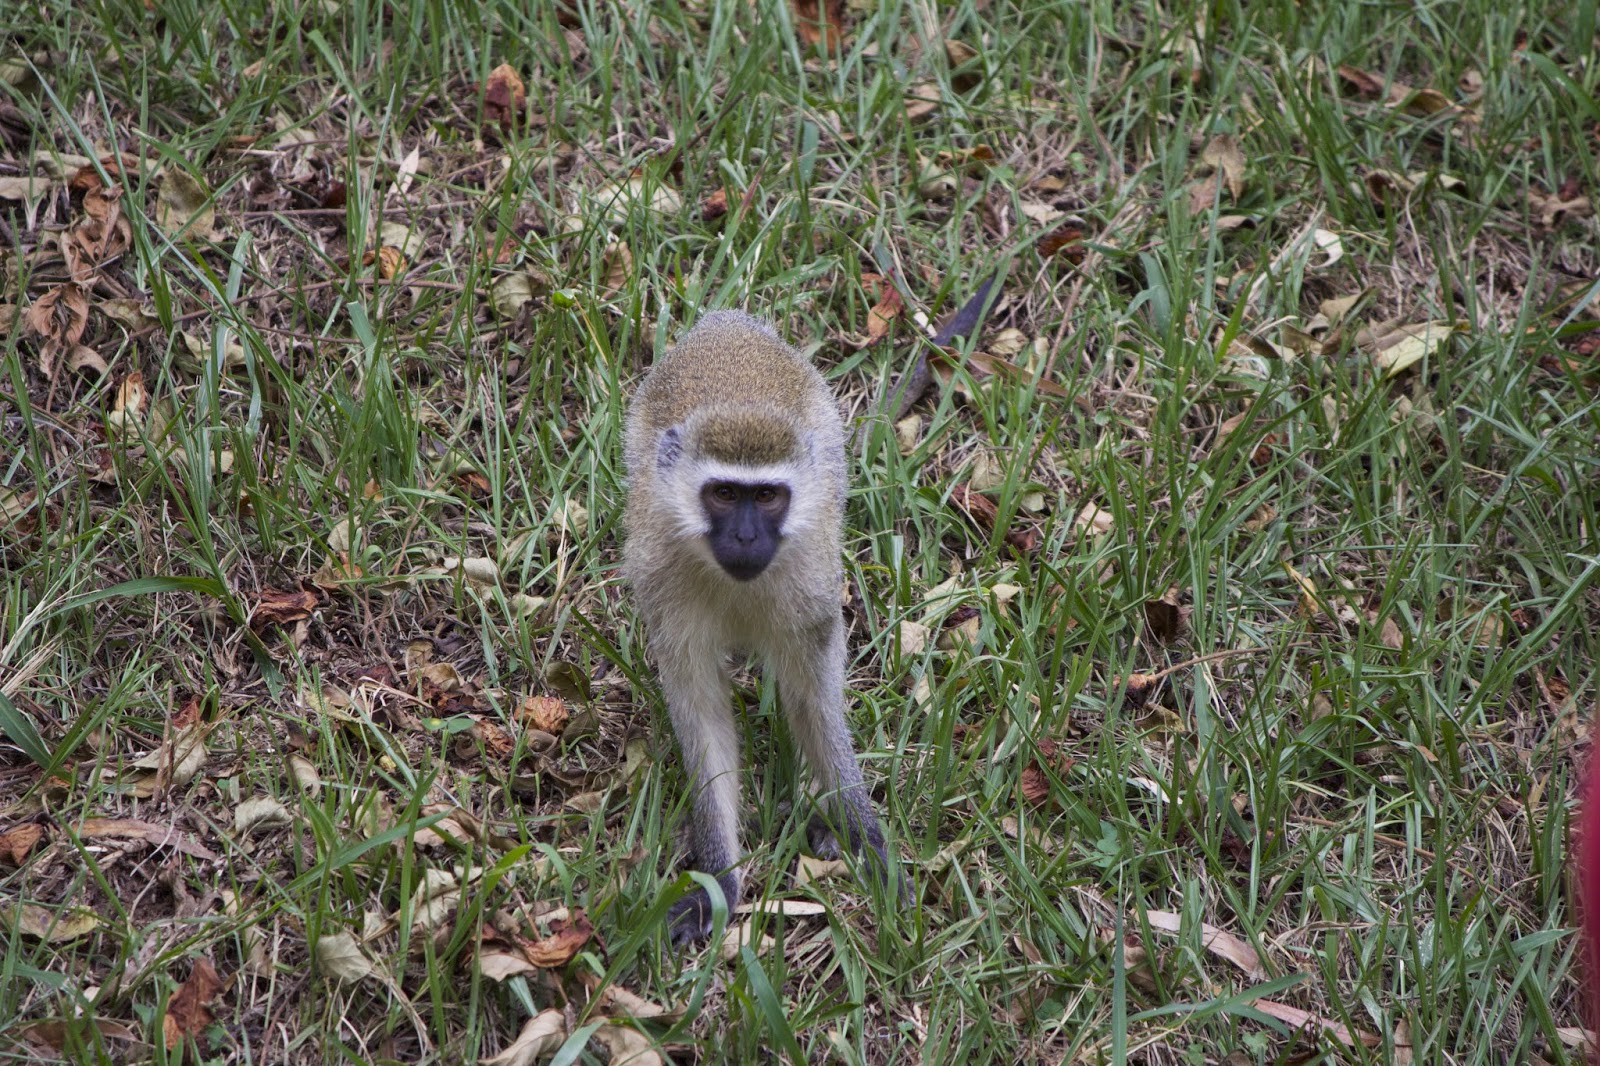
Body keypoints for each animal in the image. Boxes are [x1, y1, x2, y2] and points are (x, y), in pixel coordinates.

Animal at [622, 310, 900, 945]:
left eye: (768, 496)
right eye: (725, 494)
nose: (747, 537)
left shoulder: (811, 584)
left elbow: (814, 701)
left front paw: (863, 838)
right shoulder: (662, 584)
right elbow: (704, 720)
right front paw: (718, 884)